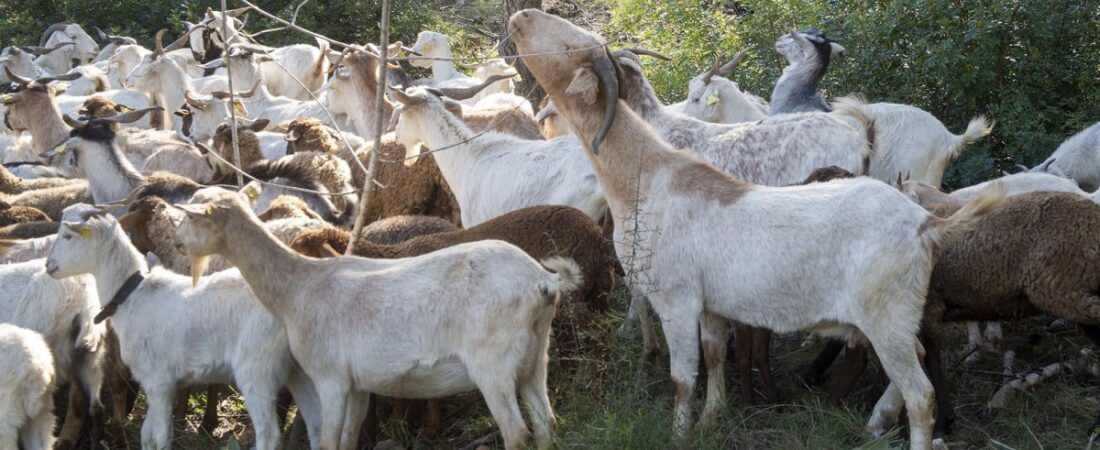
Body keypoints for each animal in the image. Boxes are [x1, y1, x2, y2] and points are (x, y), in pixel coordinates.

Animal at [45, 212, 323, 450]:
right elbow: (147, 435)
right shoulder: (154, 382)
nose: (49, 265)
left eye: (68, 236)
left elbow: (159, 436)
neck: (131, 295)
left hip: (257, 368)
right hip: (300, 371)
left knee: (269, 434)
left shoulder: (159, 380)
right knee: (317, 426)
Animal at [175, 188, 582, 450]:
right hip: (534, 357)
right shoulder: (358, 385)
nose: (177, 243)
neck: (298, 288)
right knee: (546, 425)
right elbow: (347, 441)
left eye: (193, 218)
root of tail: (542, 281)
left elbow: (328, 442)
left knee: (517, 433)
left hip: (493, 362)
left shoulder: (330, 377)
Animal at [508, 11, 1008, 448]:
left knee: (920, 393)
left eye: (571, 45)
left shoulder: (676, 299)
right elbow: (713, 358)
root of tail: (926, 223)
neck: (647, 177)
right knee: (917, 363)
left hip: (886, 316)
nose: (521, 17)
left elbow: (682, 377)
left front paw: (680, 433)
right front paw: (713, 418)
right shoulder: (710, 306)